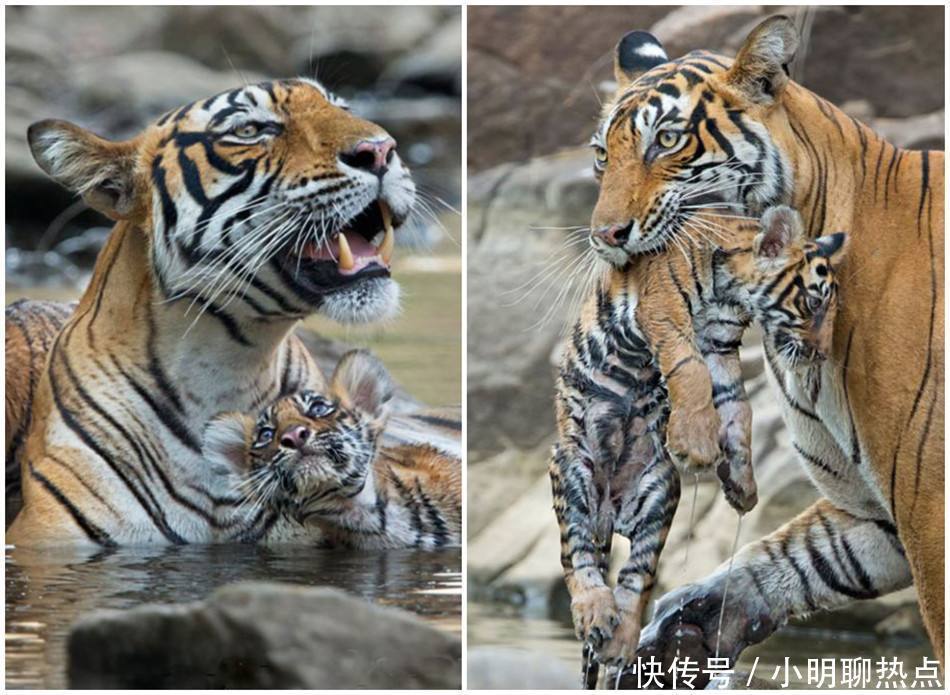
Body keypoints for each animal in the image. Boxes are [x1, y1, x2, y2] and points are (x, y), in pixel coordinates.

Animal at [551, 203, 847, 673]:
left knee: (637, 576)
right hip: (573, 471)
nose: (820, 353)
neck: (731, 292)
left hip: (659, 493)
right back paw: (595, 612)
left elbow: (737, 406)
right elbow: (689, 370)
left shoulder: (720, 345)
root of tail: (607, 514)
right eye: (814, 302)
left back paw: (621, 640)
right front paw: (697, 445)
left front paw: (742, 486)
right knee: (577, 559)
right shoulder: (665, 315)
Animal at [584, 16, 943, 682]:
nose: (604, 236)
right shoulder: (877, 512)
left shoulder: (928, 505)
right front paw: (690, 620)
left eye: (665, 141)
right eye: (602, 154)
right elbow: (803, 554)